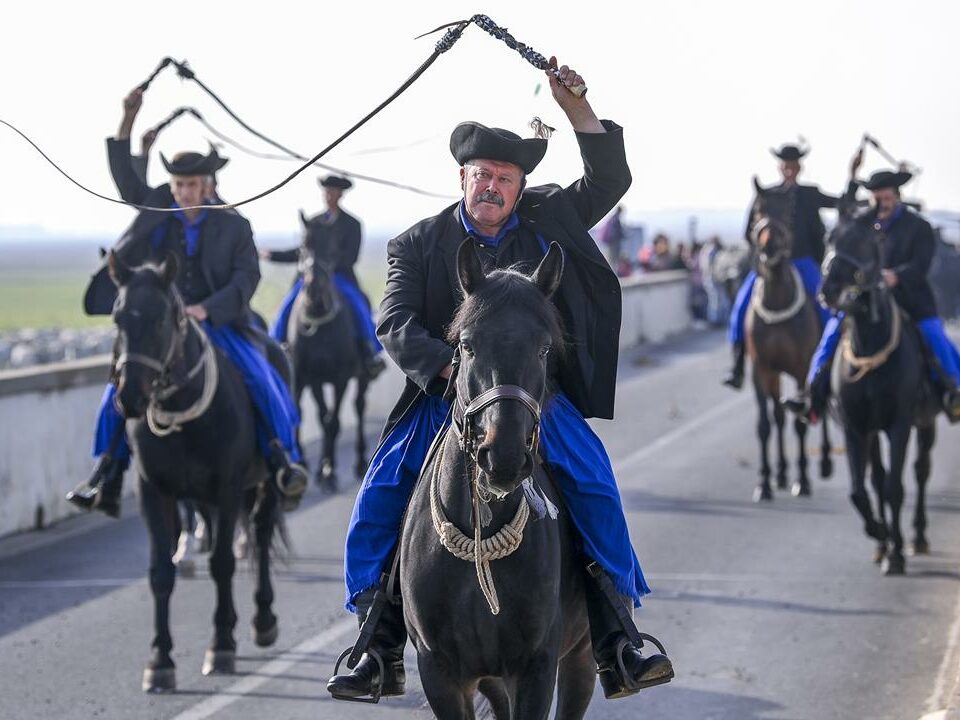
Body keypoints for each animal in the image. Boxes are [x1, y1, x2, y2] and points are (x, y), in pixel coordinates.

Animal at [109, 253, 284, 692]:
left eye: (160, 319)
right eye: (117, 317)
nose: (129, 397)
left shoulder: (227, 488)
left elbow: (222, 564)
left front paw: (219, 646)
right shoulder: (155, 492)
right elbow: (160, 572)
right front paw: (160, 660)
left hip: (264, 485)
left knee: (259, 535)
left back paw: (262, 619)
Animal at [284, 212, 368, 490]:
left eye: (332, 249)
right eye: (302, 248)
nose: (313, 289)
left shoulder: (340, 378)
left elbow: (333, 421)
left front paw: (330, 472)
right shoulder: (312, 378)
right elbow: (320, 417)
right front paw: (322, 468)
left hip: (361, 377)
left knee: (359, 406)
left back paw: (359, 461)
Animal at [396, 243, 592, 720]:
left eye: (544, 349)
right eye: (466, 346)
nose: (501, 456)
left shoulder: (536, 667)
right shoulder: (441, 672)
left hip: (580, 658)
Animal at [744, 180, 832, 504]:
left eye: (788, 212)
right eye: (758, 211)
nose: (769, 246)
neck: (777, 299)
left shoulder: (801, 369)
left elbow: (801, 422)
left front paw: (802, 480)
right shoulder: (761, 370)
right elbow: (765, 424)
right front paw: (764, 482)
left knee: (815, 411)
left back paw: (824, 462)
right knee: (779, 416)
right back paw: (781, 473)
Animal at [816, 205, 936, 576]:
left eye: (862, 240)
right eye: (828, 238)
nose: (829, 288)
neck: (870, 347)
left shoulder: (899, 425)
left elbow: (896, 487)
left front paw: (896, 554)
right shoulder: (856, 427)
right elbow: (861, 489)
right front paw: (880, 535)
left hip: (925, 423)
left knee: (920, 471)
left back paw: (917, 537)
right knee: (878, 480)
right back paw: (883, 544)